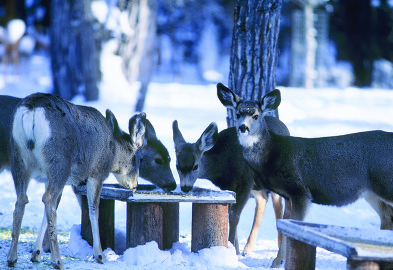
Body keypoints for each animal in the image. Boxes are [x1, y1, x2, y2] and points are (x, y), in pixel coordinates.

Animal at [216, 83, 393, 268]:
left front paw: (279, 261)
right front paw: (278, 260)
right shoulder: (288, 195)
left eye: (256, 116)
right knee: (387, 217)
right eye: (237, 114)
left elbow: (293, 227)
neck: (274, 154)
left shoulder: (300, 191)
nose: (243, 127)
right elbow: (284, 224)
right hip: (371, 192)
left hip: (385, 183)